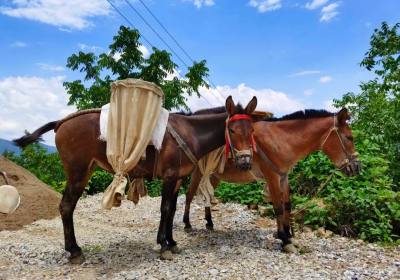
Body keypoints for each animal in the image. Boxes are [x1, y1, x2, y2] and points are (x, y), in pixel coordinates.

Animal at [14, 96, 260, 262]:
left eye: (251, 131)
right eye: (232, 130)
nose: (246, 162)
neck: (190, 133)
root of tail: (60, 122)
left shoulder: (178, 179)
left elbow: (171, 210)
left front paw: (172, 242)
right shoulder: (170, 177)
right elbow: (165, 209)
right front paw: (164, 245)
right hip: (78, 172)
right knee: (66, 207)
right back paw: (74, 251)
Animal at [183, 107, 360, 252]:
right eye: (349, 137)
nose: (357, 167)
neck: (281, 139)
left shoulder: (283, 176)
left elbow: (287, 205)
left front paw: (289, 234)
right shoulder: (272, 177)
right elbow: (278, 207)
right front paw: (284, 239)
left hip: (214, 175)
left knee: (207, 196)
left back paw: (209, 222)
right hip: (198, 172)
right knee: (189, 195)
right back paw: (187, 224)